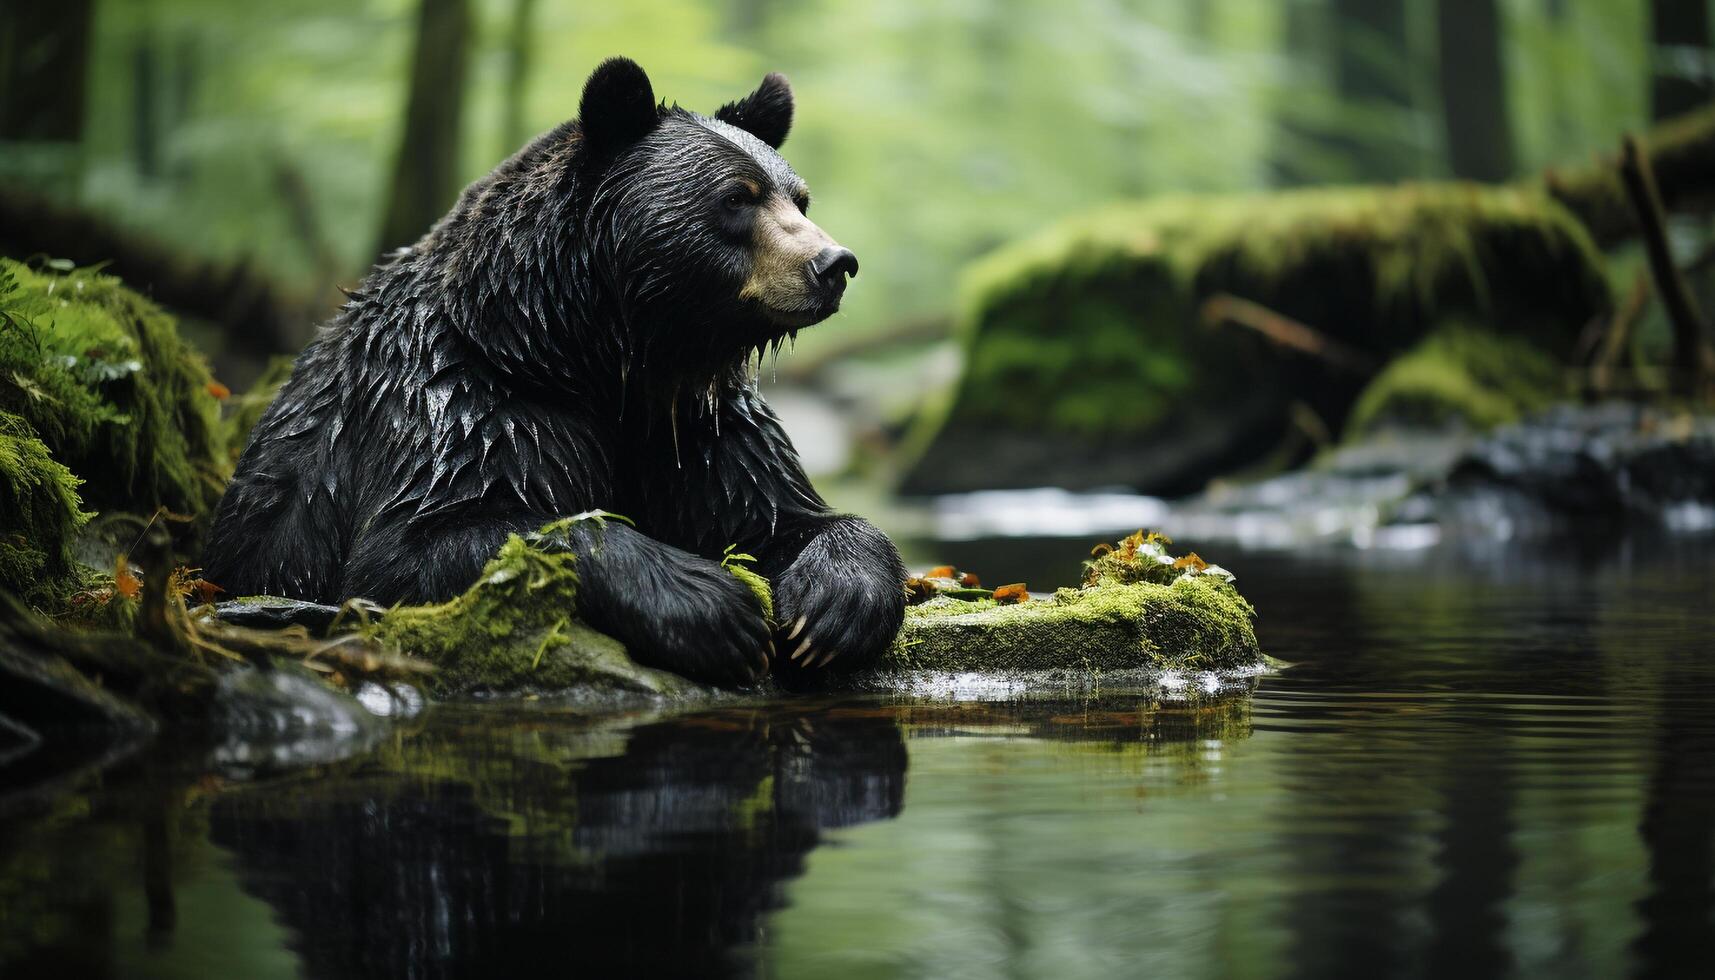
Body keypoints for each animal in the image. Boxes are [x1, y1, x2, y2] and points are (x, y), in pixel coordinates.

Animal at [204, 57, 912, 689]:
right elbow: (429, 542)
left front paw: (834, 606)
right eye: (737, 198)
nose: (834, 263)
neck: (581, 352)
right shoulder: (467, 408)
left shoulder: (694, 427)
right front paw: (716, 608)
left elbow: (779, 511)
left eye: (799, 198)